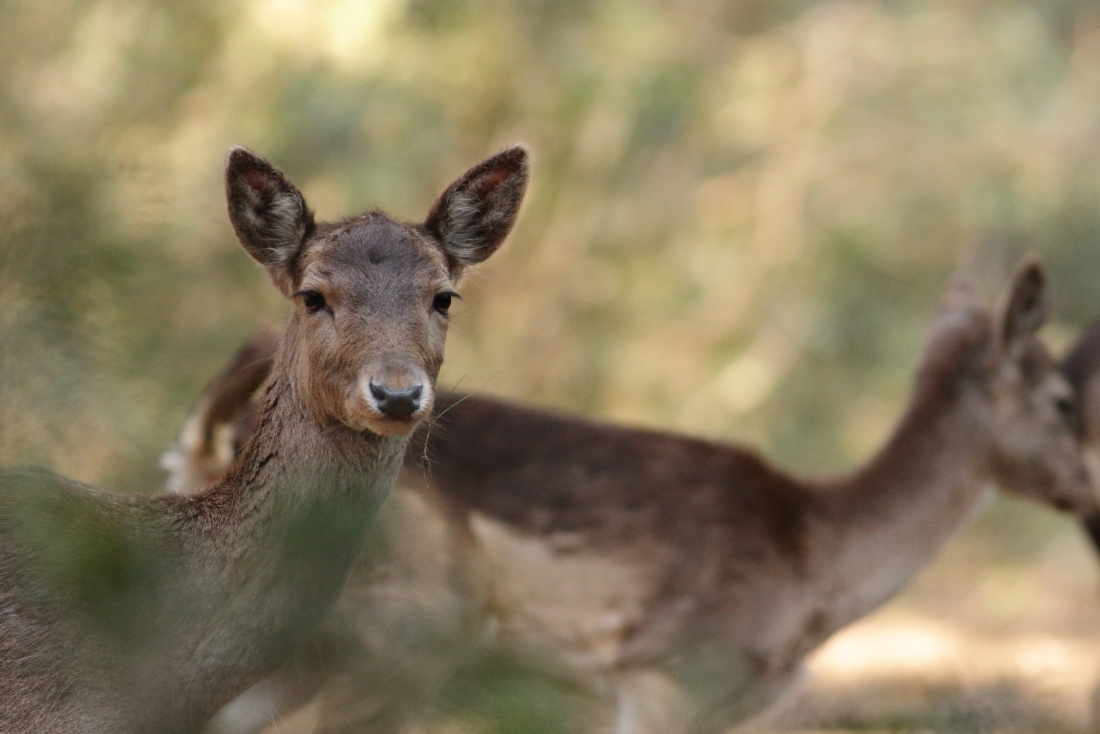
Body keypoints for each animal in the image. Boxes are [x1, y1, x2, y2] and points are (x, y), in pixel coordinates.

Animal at [171, 259, 1100, 734]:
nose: (1091, 496)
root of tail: (208, 441)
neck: (812, 566)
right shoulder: (664, 675)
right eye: (1063, 399)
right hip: (407, 632)